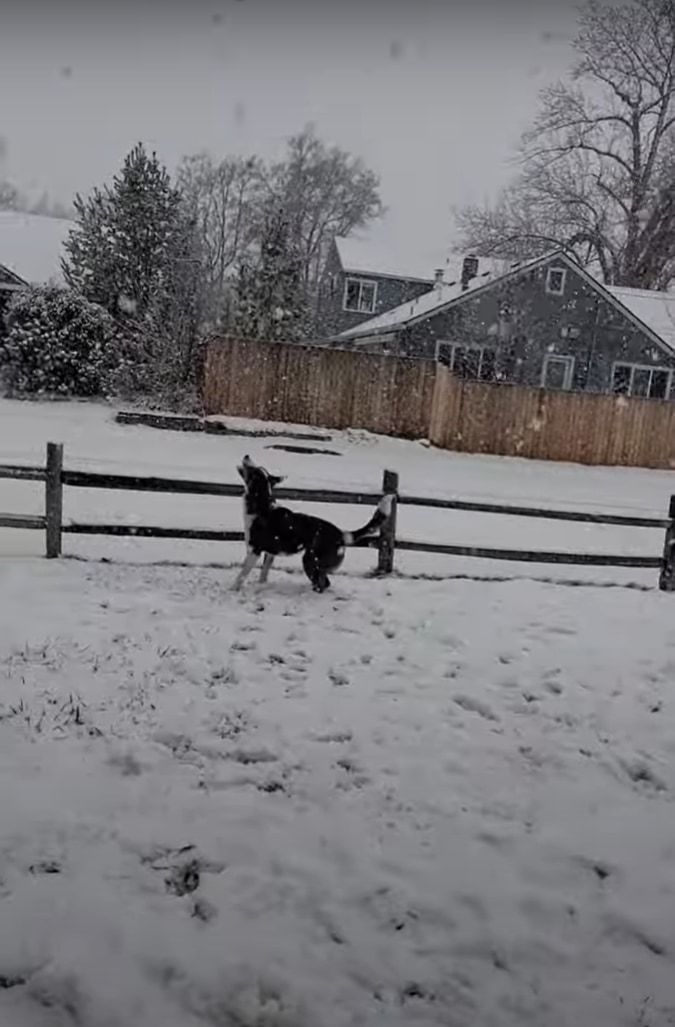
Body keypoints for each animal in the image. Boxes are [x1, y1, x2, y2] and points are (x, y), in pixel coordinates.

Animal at [233, 453, 392, 591]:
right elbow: (263, 573)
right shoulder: (270, 553)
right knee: (323, 582)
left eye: (253, 470)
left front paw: (233, 589)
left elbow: (241, 575)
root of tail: (342, 535)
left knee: (323, 583)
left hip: (309, 560)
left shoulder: (254, 550)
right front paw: (261, 586)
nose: (247, 455)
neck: (262, 504)